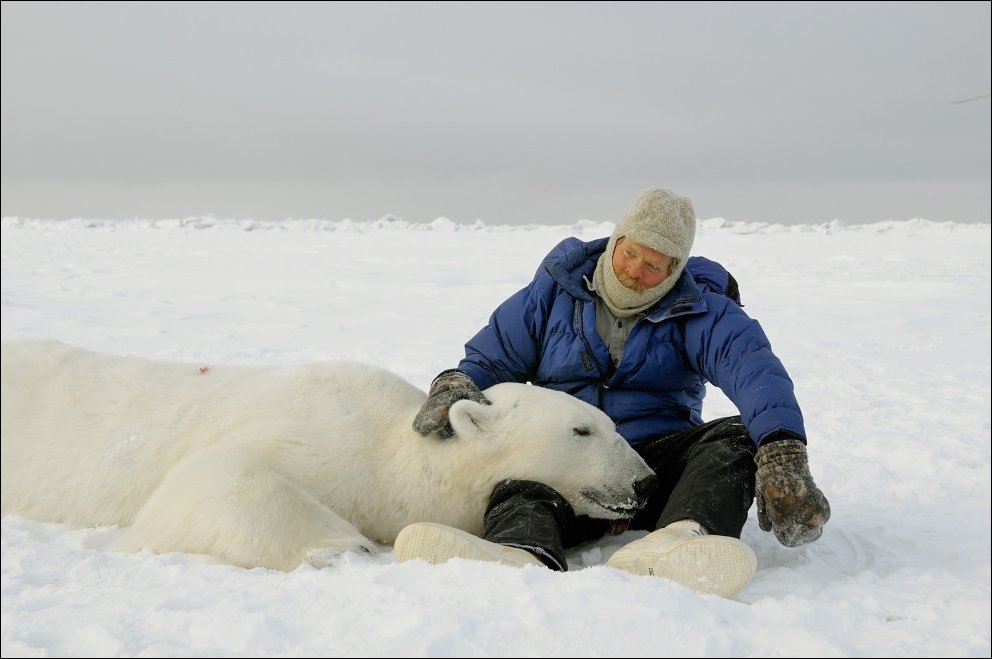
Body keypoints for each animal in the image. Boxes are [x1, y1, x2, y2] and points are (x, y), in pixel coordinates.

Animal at [1, 342, 660, 568]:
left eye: (611, 423)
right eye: (582, 430)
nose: (644, 481)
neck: (392, 457)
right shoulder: (312, 432)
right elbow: (209, 476)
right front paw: (346, 545)